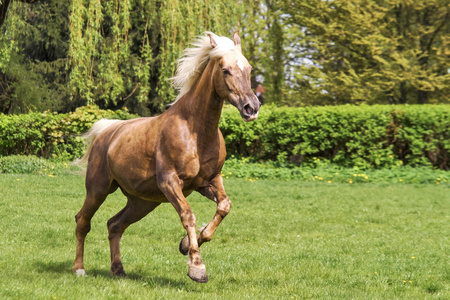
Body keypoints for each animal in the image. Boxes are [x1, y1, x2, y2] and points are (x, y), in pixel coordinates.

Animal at [71, 31, 258, 284]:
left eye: (248, 68)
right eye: (225, 70)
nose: (251, 108)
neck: (195, 130)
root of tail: (106, 131)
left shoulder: (208, 181)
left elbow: (224, 206)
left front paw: (186, 244)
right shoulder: (170, 182)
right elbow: (188, 215)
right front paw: (197, 268)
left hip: (142, 202)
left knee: (114, 225)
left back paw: (118, 270)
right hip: (98, 188)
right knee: (82, 221)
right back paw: (79, 269)